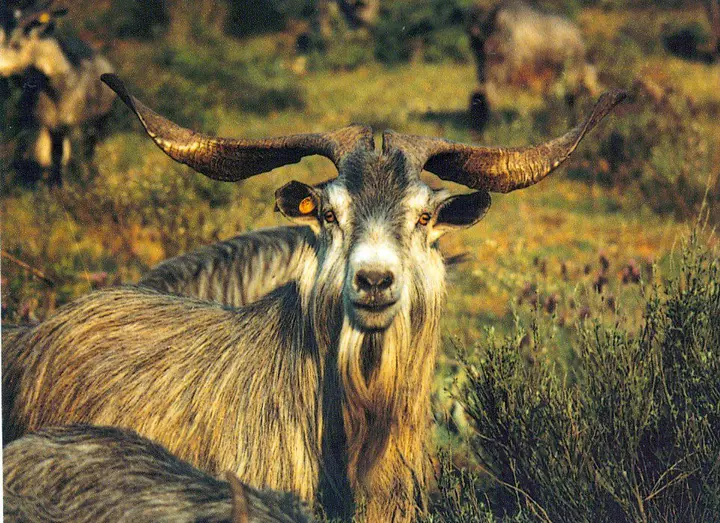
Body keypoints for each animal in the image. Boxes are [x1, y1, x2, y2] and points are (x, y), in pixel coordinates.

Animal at [0, 2, 115, 185]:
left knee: (89, 150)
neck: (56, 91)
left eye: (15, 45)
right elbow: (56, 157)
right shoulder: (52, 126)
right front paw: (57, 186)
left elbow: (73, 157)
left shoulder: (75, 124)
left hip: (98, 123)